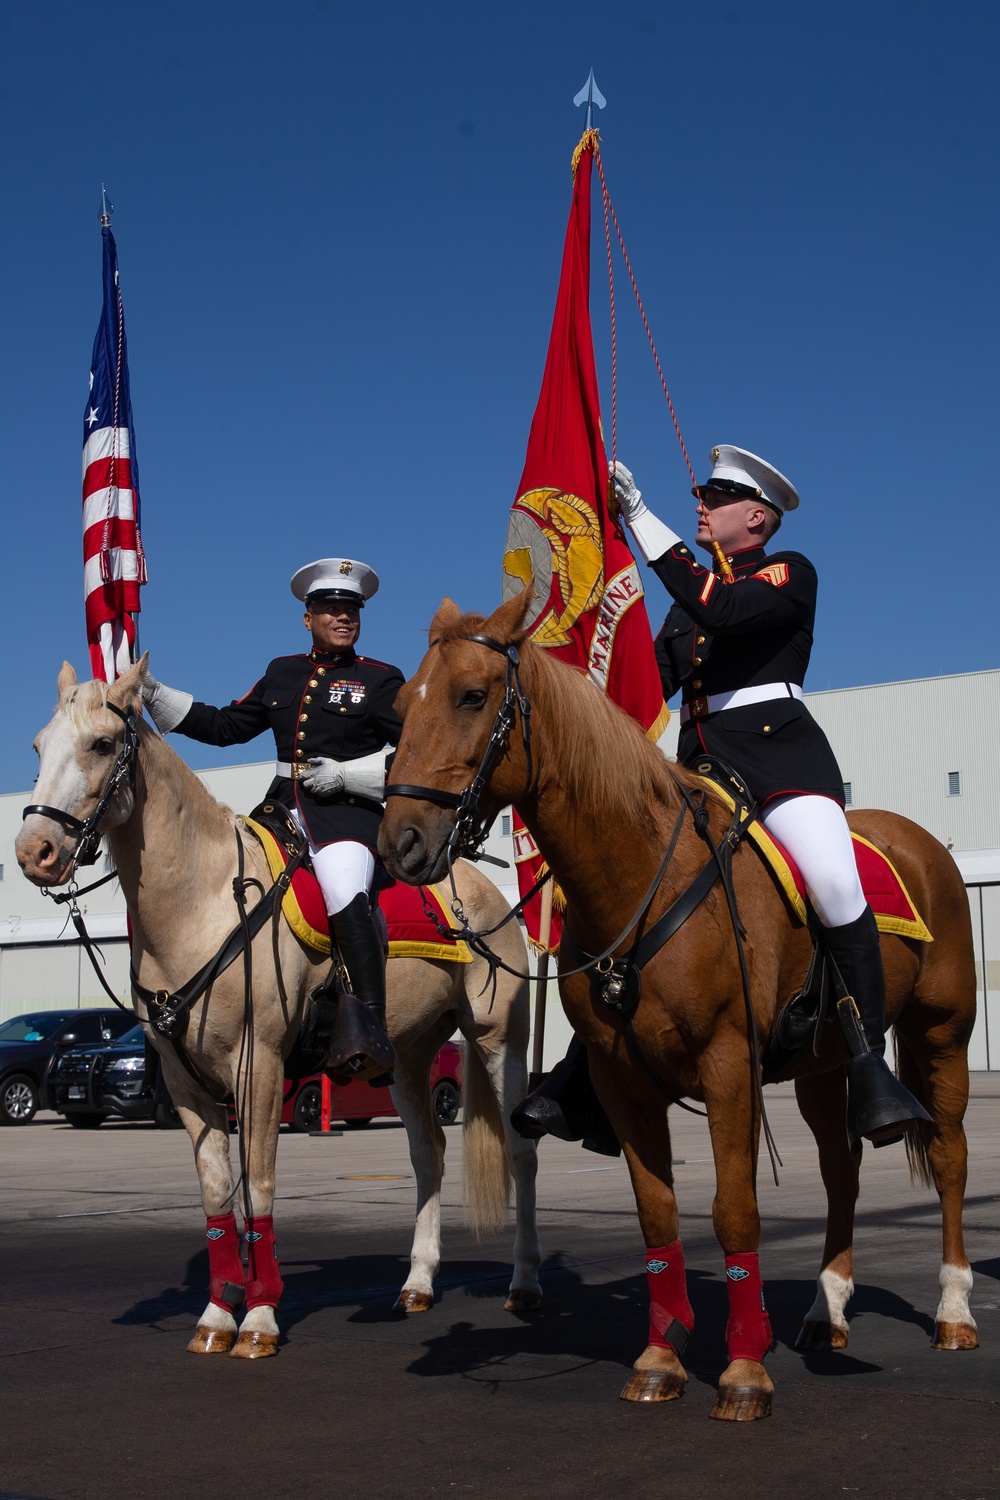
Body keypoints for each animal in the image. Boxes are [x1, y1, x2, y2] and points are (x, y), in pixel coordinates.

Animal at [13, 657, 539, 1362]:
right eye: (38, 747)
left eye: (101, 744)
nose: (33, 852)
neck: (201, 900)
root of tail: (482, 889)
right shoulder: (184, 1080)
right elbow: (217, 1193)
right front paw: (216, 1314)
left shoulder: (257, 1067)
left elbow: (258, 1184)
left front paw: (259, 1318)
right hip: (405, 1057)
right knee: (427, 1152)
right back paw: (417, 1283)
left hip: (497, 1038)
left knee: (520, 1151)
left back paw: (525, 1285)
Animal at [374, 585, 977, 1416]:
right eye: (403, 705)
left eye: (471, 695)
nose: (400, 842)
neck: (640, 877)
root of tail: (919, 844)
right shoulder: (622, 1078)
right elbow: (656, 1210)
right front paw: (661, 1357)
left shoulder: (727, 1066)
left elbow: (734, 1211)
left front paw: (744, 1370)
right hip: (823, 1068)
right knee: (841, 1171)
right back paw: (827, 1312)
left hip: (942, 1035)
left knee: (948, 1156)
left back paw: (953, 1309)